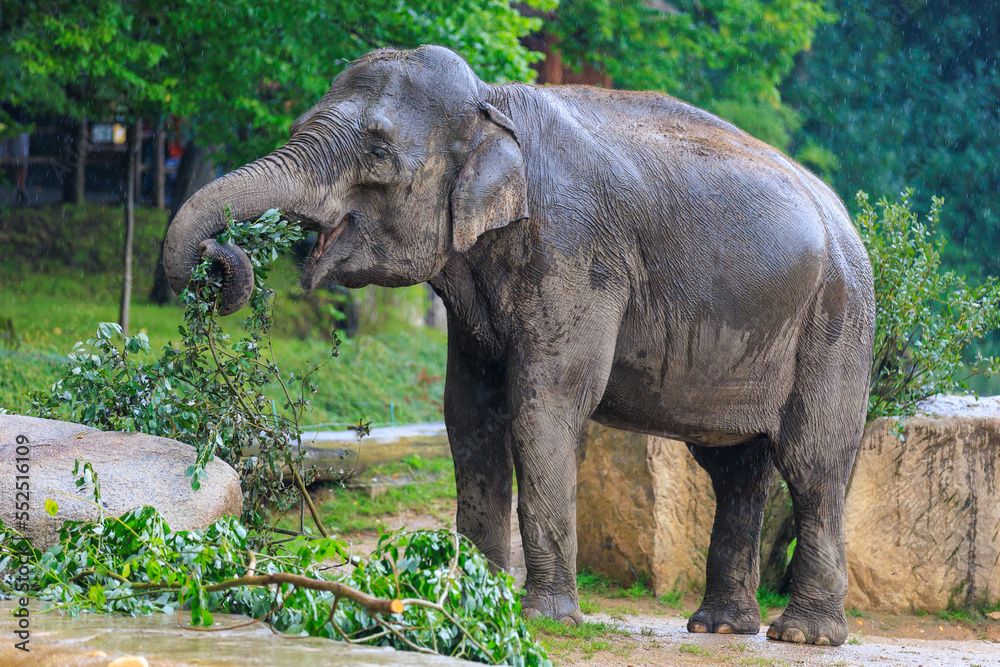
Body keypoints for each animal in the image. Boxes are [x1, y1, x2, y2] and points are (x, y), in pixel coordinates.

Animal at [163, 45, 875, 645]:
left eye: (379, 152)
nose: (219, 261)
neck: (490, 101)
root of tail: (846, 218)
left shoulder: (576, 255)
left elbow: (543, 405)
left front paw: (539, 616)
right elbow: (468, 413)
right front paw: (466, 597)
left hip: (837, 321)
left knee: (812, 464)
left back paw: (803, 636)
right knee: (735, 469)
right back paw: (719, 627)